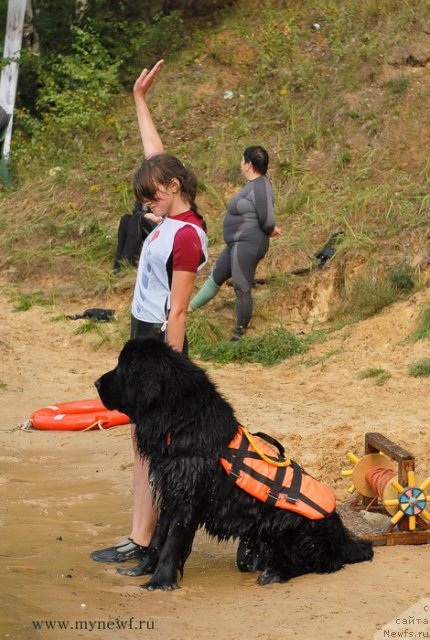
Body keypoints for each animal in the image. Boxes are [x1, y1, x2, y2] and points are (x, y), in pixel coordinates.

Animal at [95, 338, 372, 592]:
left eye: (121, 369)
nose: (96, 383)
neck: (182, 422)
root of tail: (347, 538)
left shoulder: (186, 500)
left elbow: (171, 545)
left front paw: (159, 582)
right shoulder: (169, 494)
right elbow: (156, 540)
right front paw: (140, 570)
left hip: (293, 527)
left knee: (324, 561)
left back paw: (276, 573)